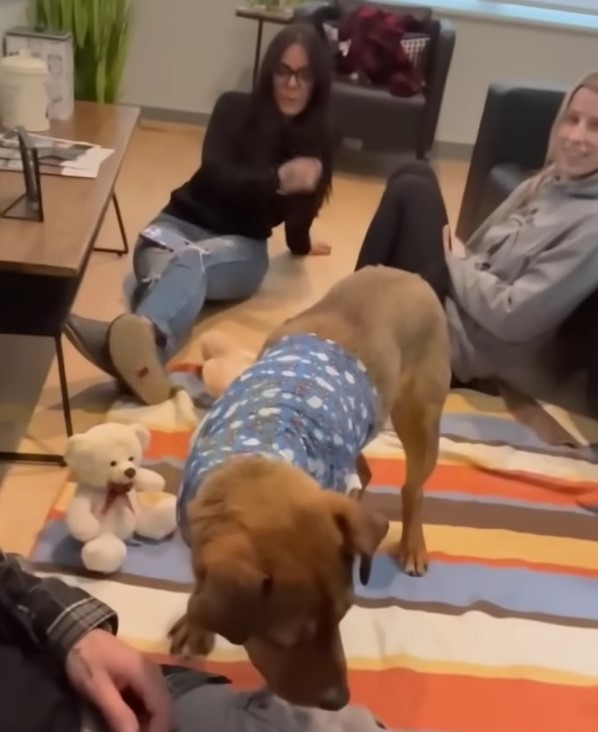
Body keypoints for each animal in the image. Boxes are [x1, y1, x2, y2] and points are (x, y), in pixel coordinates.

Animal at [169, 268, 450, 708]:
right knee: (365, 471)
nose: (339, 700)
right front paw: (196, 622)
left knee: (413, 489)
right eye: (286, 638)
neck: (257, 452)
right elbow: (199, 586)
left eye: (344, 614)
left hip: (420, 418)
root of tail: (408, 273)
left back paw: (412, 545)